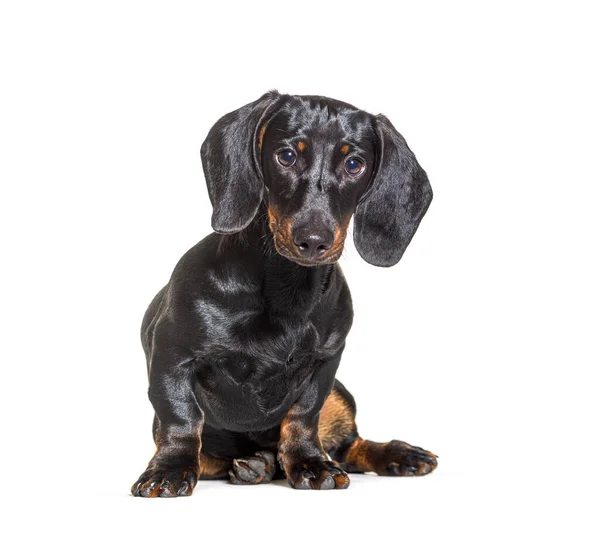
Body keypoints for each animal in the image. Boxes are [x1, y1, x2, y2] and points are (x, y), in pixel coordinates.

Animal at [131, 90, 436, 496]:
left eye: (354, 164)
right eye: (287, 156)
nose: (313, 240)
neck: (287, 289)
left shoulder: (325, 364)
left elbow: (303, 418)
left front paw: (310, 464)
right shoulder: (172, 357)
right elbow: (181, 419)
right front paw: (169, 470)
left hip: (341, 396)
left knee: (349, 446)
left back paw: (395, 454)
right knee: (213, 457)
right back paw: (255, 465)